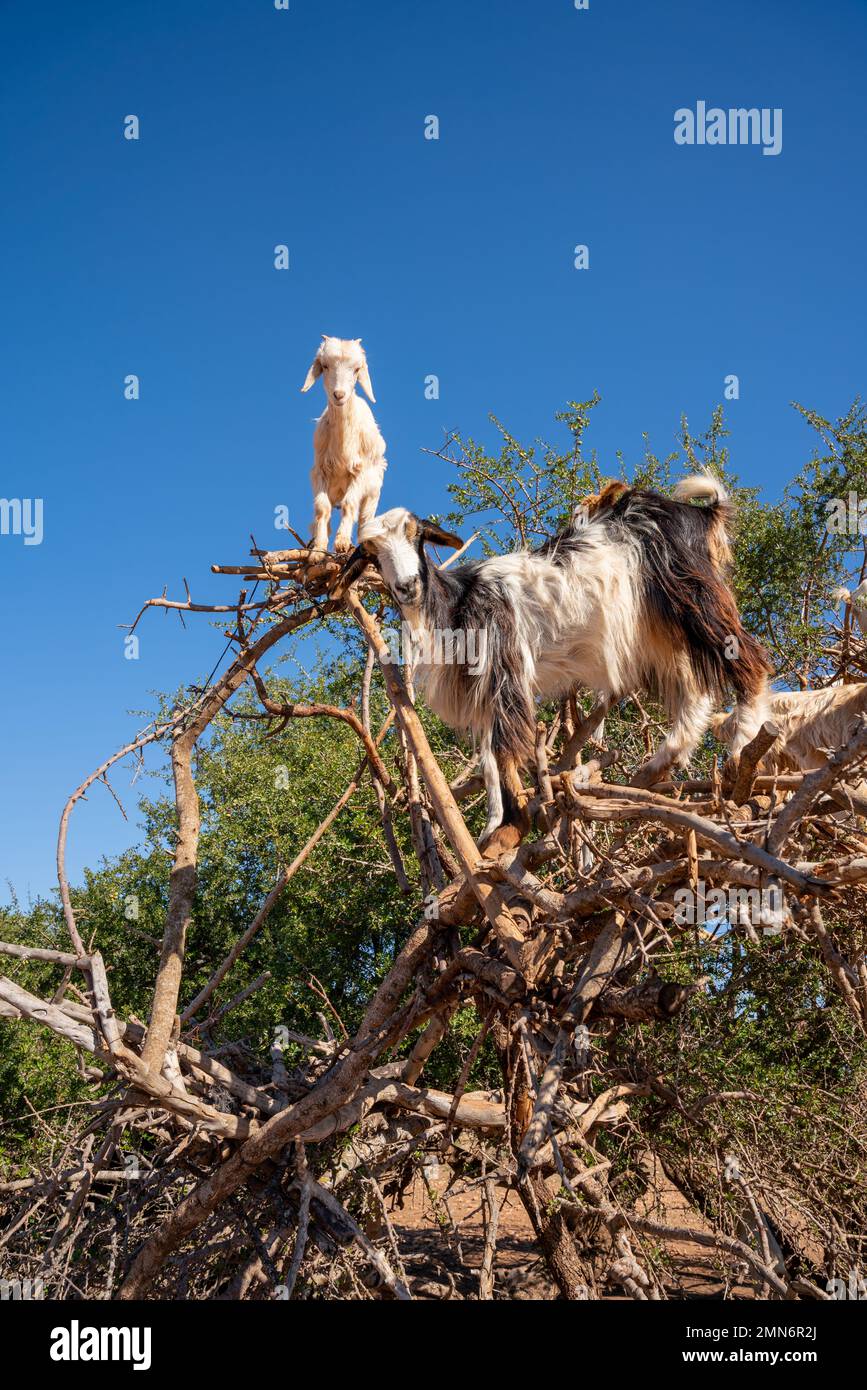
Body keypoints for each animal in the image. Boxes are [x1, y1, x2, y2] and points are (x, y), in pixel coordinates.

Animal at [302, 336, 389, 553]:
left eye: (357, 369)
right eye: (325, 366)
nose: (339, 395)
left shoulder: (360, 472)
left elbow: (350, 504)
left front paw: (341, 543)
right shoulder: (320, 472)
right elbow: (322, 508)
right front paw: (318, 550)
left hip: (373, 491)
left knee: (364, 520)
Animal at [352, 478, 772, 845]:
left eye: (416, 535)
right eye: (371, 551)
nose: (407, 586)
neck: (458, 601)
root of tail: (700, 514)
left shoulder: (507, 670)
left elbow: (503, 749)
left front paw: (512, 825)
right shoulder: (482, 691)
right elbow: (487, 759)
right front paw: (491, 830)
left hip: (696, 599)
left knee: (749, 660)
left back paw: (739, 753)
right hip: (659, 633)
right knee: (695, 692)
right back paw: (658, 764)